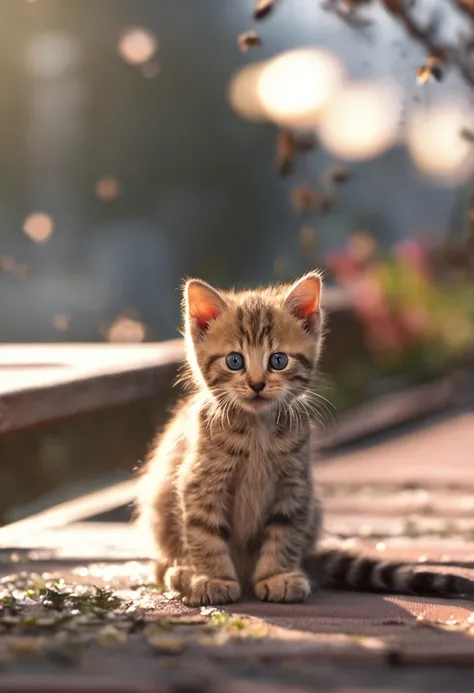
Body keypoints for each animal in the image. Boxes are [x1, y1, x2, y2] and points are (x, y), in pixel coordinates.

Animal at [135, 274, 472, 604]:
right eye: (234, 361)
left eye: (278, 360)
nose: (257, 384)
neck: (257, 430)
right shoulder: (200, 481)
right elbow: (203, 532)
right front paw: (213, 578)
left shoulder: (295, 483)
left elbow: (285, 530)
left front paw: (278, 576)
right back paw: (179, 572)